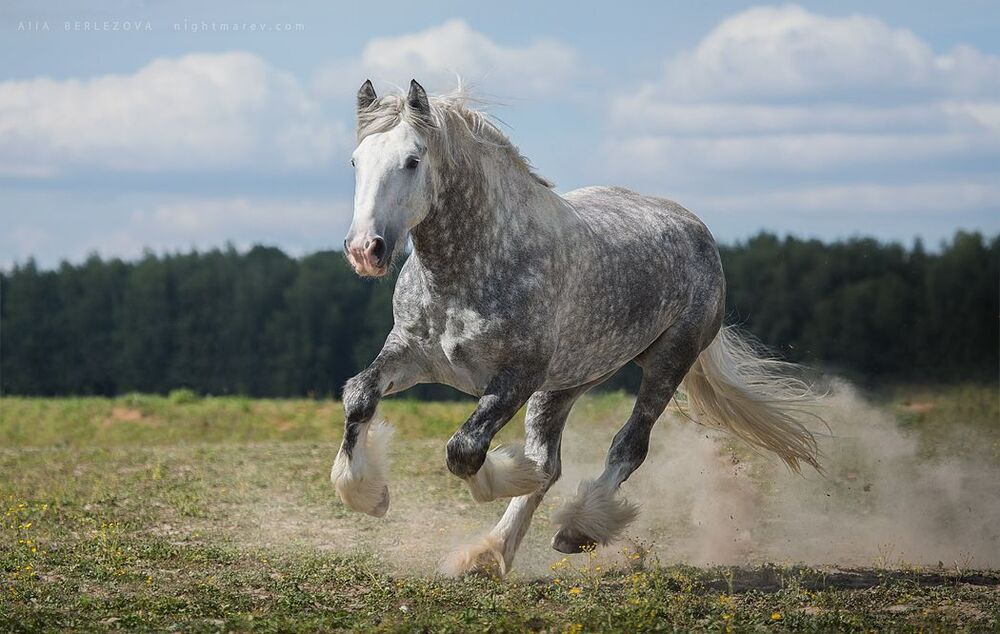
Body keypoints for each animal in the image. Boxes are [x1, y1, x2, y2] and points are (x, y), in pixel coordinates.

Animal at [331, 79, 821, 575]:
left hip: (668, 362)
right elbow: (359, 395)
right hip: (566, 384)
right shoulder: (412, 353)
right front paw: (369, 496)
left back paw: (576, 529)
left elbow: (465, 449)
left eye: (412, 160)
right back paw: (488, 552)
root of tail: (695, 228)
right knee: (551, 462)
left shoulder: (517, 377)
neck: (473, 266)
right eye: (356, 161)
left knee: (628, 447)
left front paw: (509, 475)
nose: (365, 250)